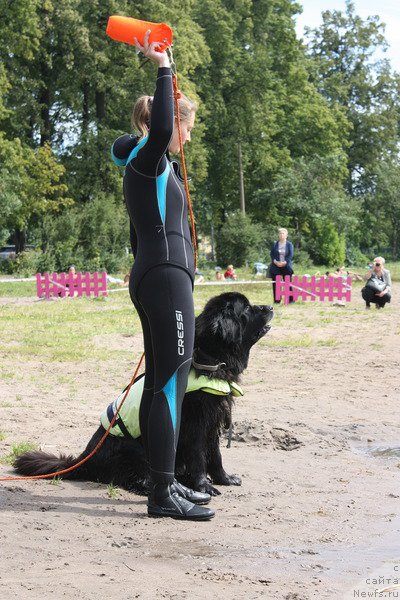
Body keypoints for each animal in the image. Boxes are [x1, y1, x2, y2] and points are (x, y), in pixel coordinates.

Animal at [14, 292, 272, 494]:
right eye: (246, 308)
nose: (270, 306)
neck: (210, 358)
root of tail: (84, 458)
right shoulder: (197, 424)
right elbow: (199, 456)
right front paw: (204, 486)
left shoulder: (214, 420)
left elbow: (215, 455)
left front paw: (225, 479)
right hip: (135, 447)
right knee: (134, 477)